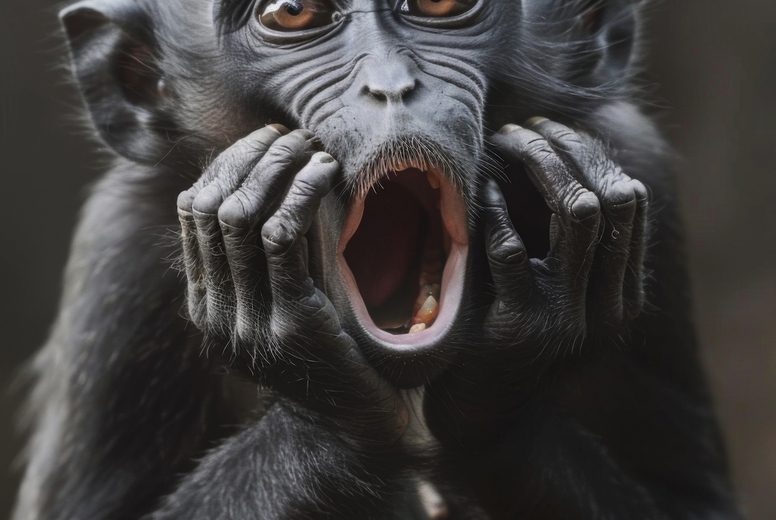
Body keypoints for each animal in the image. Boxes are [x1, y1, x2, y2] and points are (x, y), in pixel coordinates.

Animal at [13, 0, 742, 519]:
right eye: (293, 12)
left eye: (441, 0)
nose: (392, 85)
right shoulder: (120, 257)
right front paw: (323, 396)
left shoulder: (636, 163)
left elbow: (689, 501)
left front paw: (511, 368)